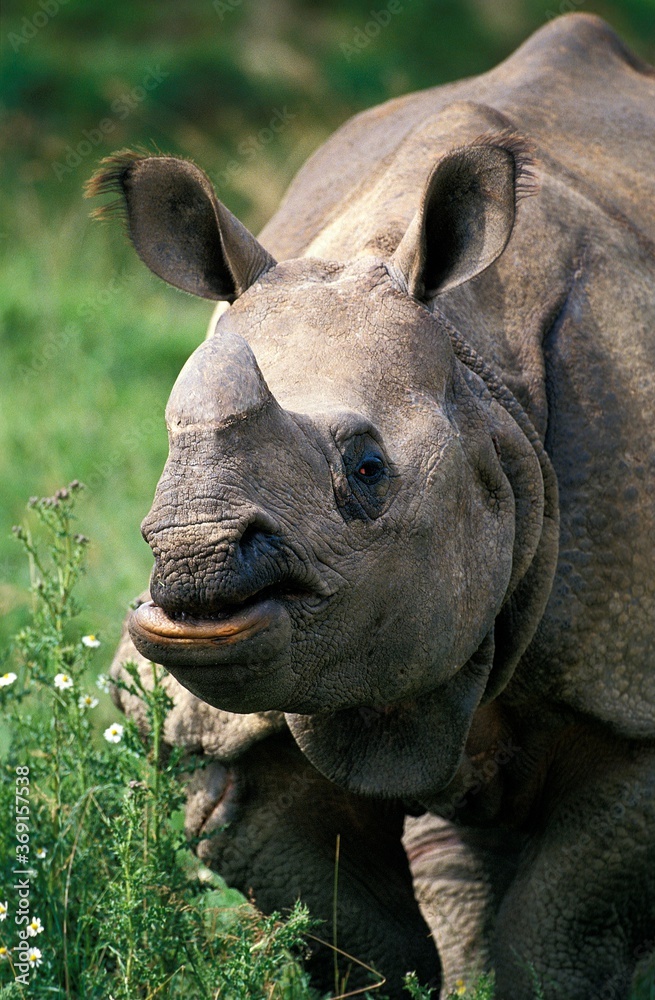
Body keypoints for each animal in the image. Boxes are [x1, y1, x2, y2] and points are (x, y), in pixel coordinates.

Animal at [92, 13, 655, 998]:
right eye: (168, 454)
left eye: (366, 470)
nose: (196, 556)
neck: (479, 372)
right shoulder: (234, 735)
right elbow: (354, 936)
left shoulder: (632, 689)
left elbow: (561, 938)